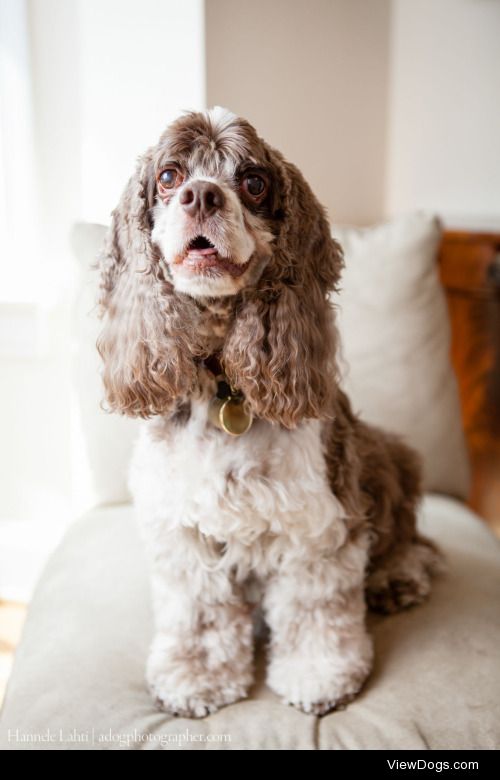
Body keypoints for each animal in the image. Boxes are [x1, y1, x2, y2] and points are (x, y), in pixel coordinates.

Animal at [98, 106, 442, 716]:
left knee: (412, 540)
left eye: (254, 181)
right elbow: (201, 613)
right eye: (169, 176)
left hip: (388, 453)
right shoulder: (183, 530)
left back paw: (396, 577)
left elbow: (313, 608)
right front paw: (196, 678)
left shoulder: (318, 522)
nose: (202, 195)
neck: (223, 388)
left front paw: (319, 676)